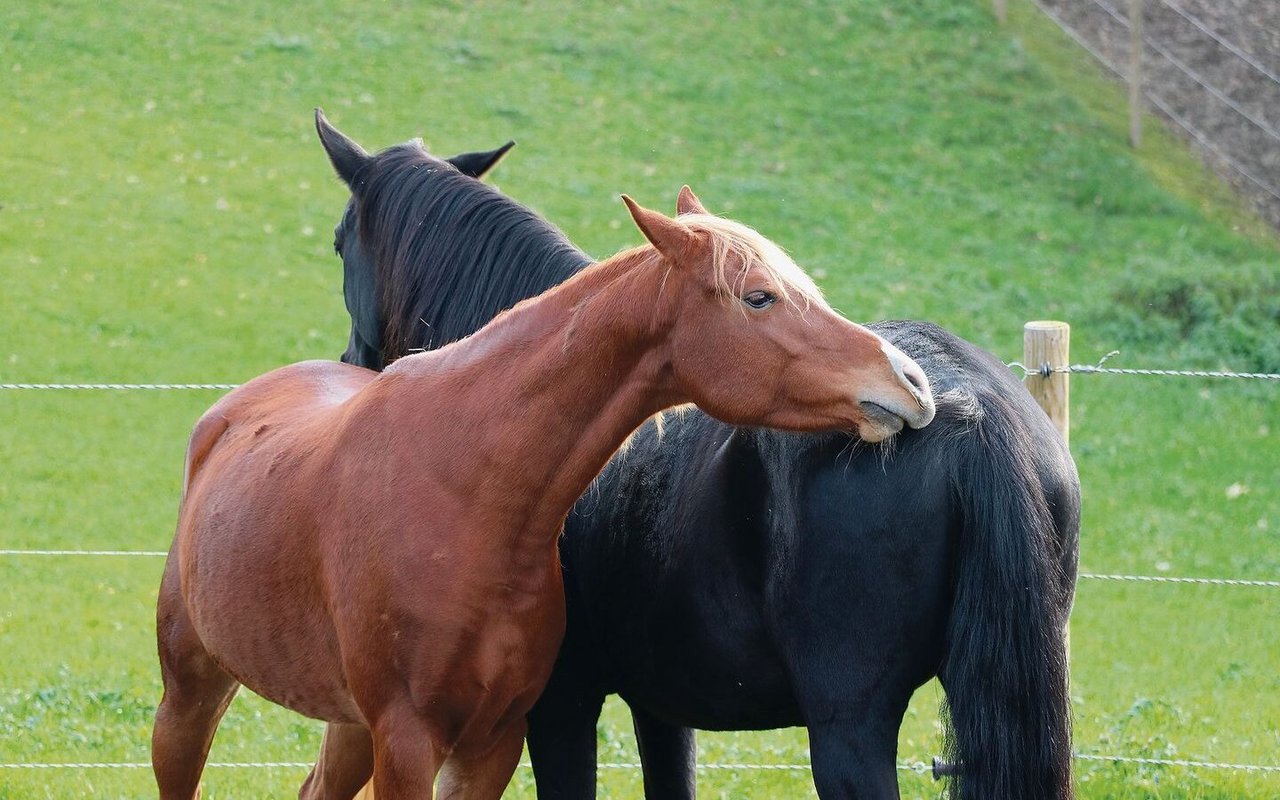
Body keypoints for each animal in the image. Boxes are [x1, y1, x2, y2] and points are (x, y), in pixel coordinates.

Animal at [149, 184, 936, 793]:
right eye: (760, 297)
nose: (911, 382)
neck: (465, 492)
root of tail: (229, 411)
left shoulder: (493, 741)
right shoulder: (411, 740)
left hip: (346, 725)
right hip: (191, 695)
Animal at [312, 110, 1080, 798]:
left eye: (338, 242)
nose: (351, 365)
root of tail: (972, 409)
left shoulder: (559, 707)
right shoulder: (661, 707)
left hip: (849, 732)